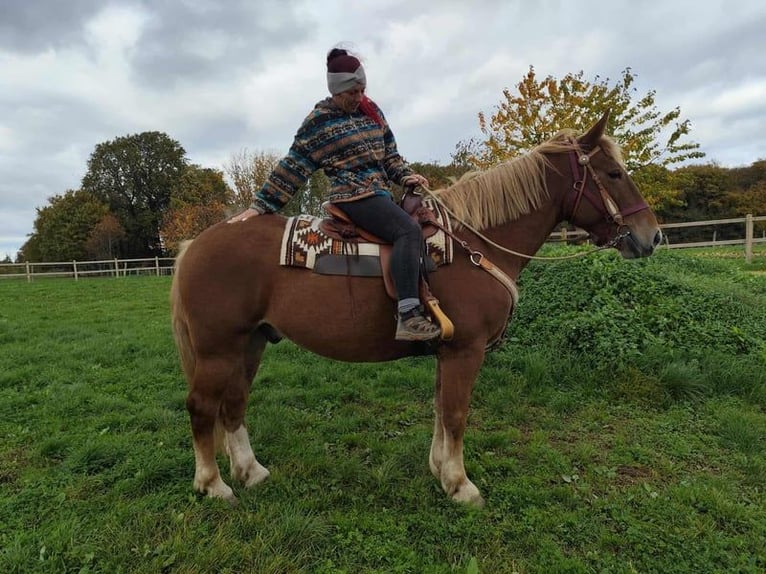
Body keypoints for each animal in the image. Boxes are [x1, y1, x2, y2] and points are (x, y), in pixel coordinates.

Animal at [170, 111, 662, 507]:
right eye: (613, 173)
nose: (652, 236)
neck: (475, 244)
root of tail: (196, 244)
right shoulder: (466, 350)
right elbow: (457, 414)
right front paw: (462, 486)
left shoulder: (449, 350)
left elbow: (441, 411)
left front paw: (441, 471)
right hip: (218, 349)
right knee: (201, 406)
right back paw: (213, 484)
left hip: (251, 343)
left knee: (234, 403)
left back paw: (250, 472)